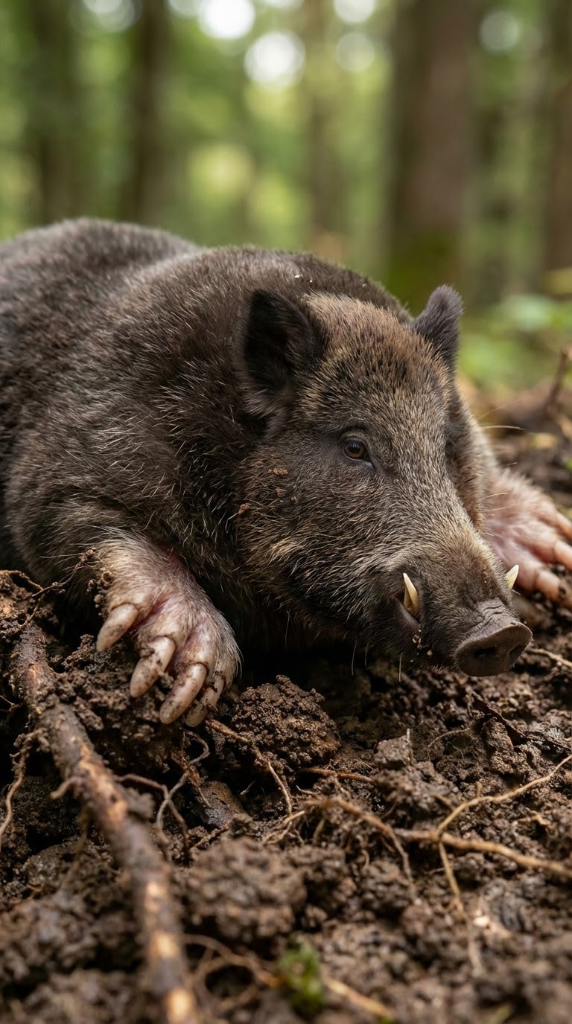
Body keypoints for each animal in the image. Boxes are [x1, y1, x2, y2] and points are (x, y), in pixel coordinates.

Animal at [0, 218, 571, 726]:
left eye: (447, 442)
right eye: (355, 446)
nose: (503, 632)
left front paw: (556, 554)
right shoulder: (56, 477)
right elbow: (93, 531)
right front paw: (185, 692)